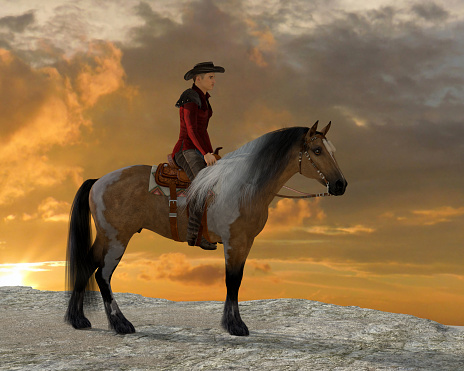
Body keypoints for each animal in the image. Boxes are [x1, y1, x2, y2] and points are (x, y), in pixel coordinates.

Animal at [66, 121, 348, 338]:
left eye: (332, 150)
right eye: (317, 150)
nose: (341, 184)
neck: (246, 185)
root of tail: (98, 181)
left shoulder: (246, 242)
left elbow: (236, 280)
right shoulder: (235, 241)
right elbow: (232, 280)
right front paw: (235, 326)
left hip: (105, 237)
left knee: (86, 266)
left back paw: (78, 320)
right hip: (117, 238)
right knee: (103, 275)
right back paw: (120, 324)